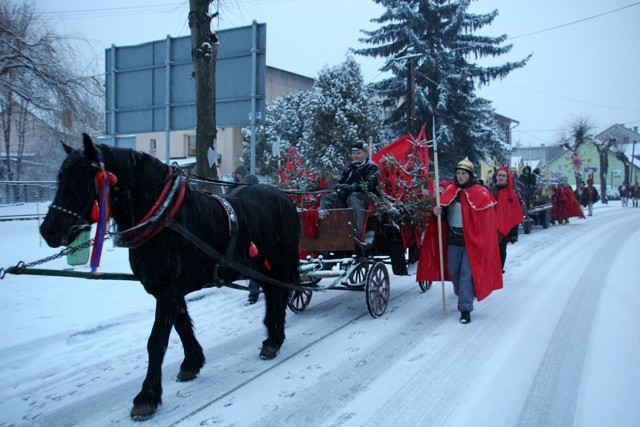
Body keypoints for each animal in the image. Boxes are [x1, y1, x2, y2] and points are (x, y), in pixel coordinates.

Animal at [40, 135, 300, 422]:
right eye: (61, 177)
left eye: (81, 180)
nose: (48, 230)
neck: (163, 216)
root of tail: (284, 197)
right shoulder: (165, 289)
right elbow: (181, 325)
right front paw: (192, 362)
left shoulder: (169, 290)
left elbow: (156, 341)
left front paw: (147, 397)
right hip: (261, 266)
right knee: (273, 295)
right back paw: (271, 337)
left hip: (280, 263)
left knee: (280, 295)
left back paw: (274, 340)